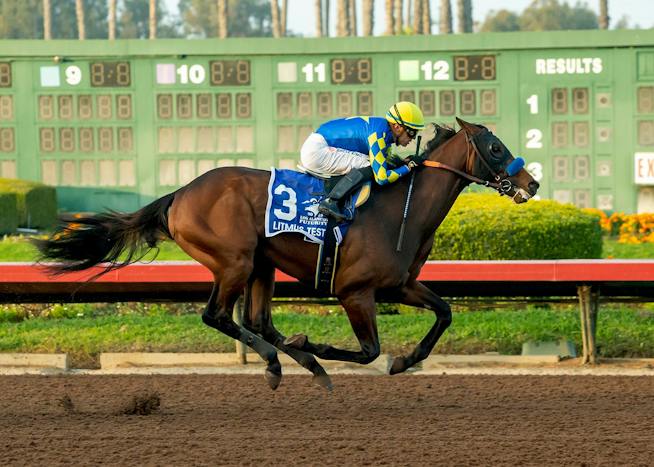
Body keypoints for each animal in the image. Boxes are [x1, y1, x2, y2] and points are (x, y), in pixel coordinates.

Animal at [34, 117, 539, 391]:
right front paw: (314, 343)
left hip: (262, 264)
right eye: (495, 147)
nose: (531, 183)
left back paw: (300, 365)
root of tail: (179, 193)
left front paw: (405, 361)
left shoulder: (400, 284)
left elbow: (444, 313)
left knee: (257, 321)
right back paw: (283, 361)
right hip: (234, 261)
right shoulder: (355, 292)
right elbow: (368, 351)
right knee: (219, 316)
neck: (400, 208)